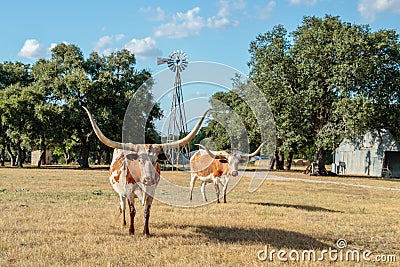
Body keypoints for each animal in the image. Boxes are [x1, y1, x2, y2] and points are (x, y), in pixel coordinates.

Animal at [84, 107, 209, 237]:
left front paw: (146, 232)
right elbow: (132, 211)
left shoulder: (151, 193)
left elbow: (147, 212)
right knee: (123, 206)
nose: (148, 179)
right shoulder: (129, 192)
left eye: (156, 161)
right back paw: (123, 223)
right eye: (139, 160)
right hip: (120, 193)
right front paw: (131, 231)